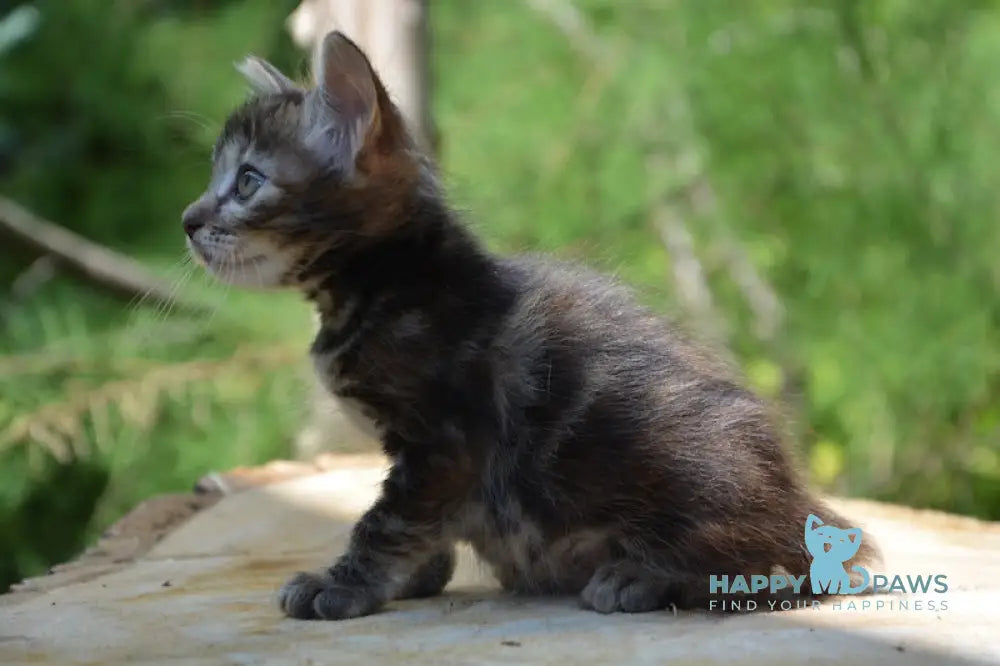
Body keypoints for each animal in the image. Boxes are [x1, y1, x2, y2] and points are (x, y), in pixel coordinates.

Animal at [182, 33, 876, 616]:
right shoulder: (425, 462)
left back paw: (643, 575)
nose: (187, 220)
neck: (384, 287)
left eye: (247, 181)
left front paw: (345, 584)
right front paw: (415, 578)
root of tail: (795, 498)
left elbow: (385, 522)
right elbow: (417, 527)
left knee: (776, 567)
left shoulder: (444, 443)